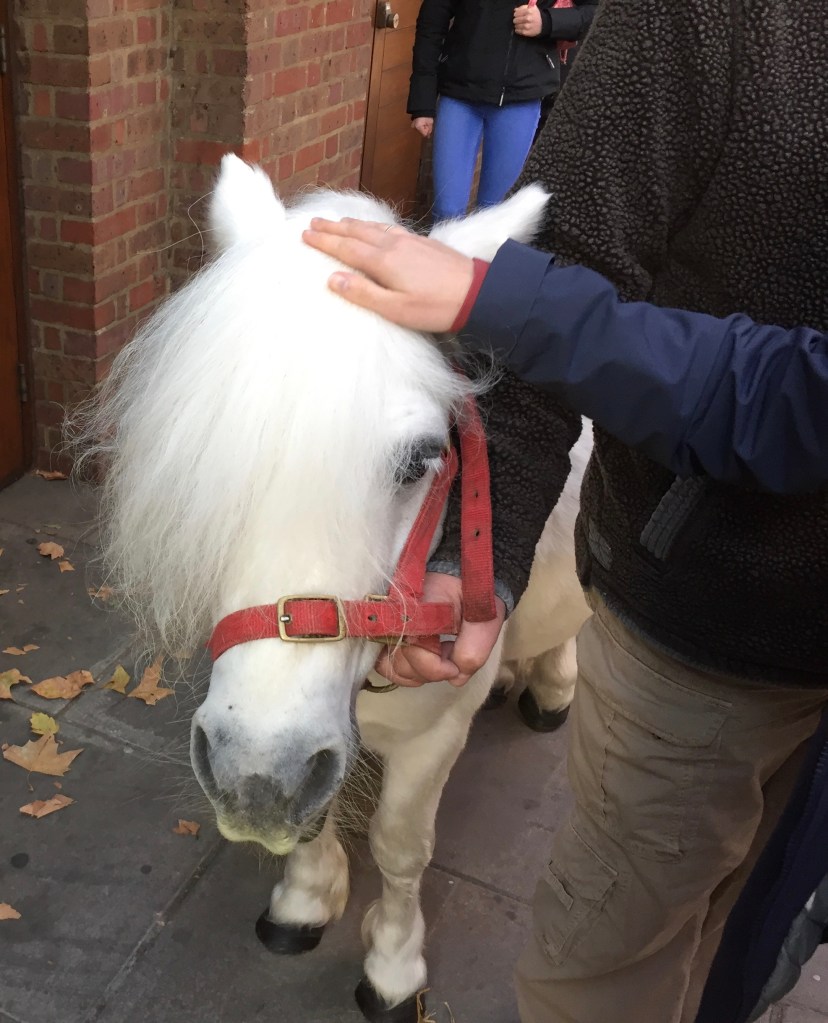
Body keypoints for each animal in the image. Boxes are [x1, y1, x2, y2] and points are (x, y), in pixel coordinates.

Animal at [77, 154, 591, 1022]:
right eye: (204, 449)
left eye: (421, 458)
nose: (255, 777)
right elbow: (314, 820)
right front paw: (307, 899)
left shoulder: (428, 736)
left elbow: (400, 844)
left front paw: (393, 961)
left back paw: (551, 682)